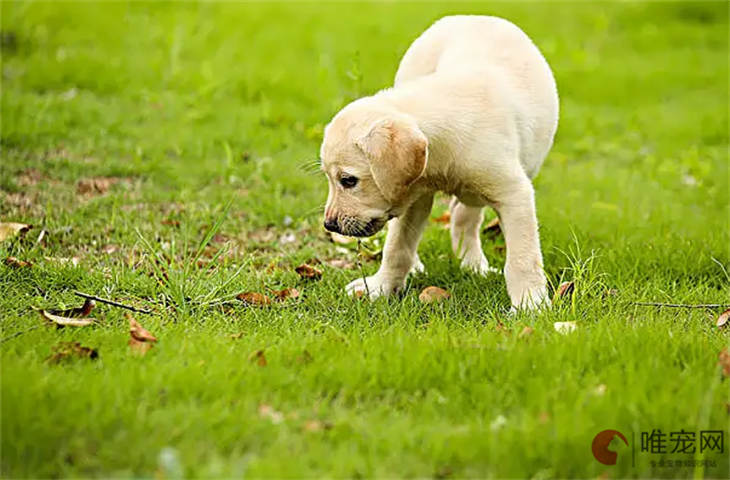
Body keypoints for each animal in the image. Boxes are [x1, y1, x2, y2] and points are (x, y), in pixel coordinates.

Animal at [318, 15, 556, 312]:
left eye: (348, 181)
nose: (329, 225)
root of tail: (470, 16)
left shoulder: (514, 194)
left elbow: (522, 259)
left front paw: (531, 304)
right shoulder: (413, 199)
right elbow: (397, 248)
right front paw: (380, 288)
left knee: (464, 216)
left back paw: (473, 265)